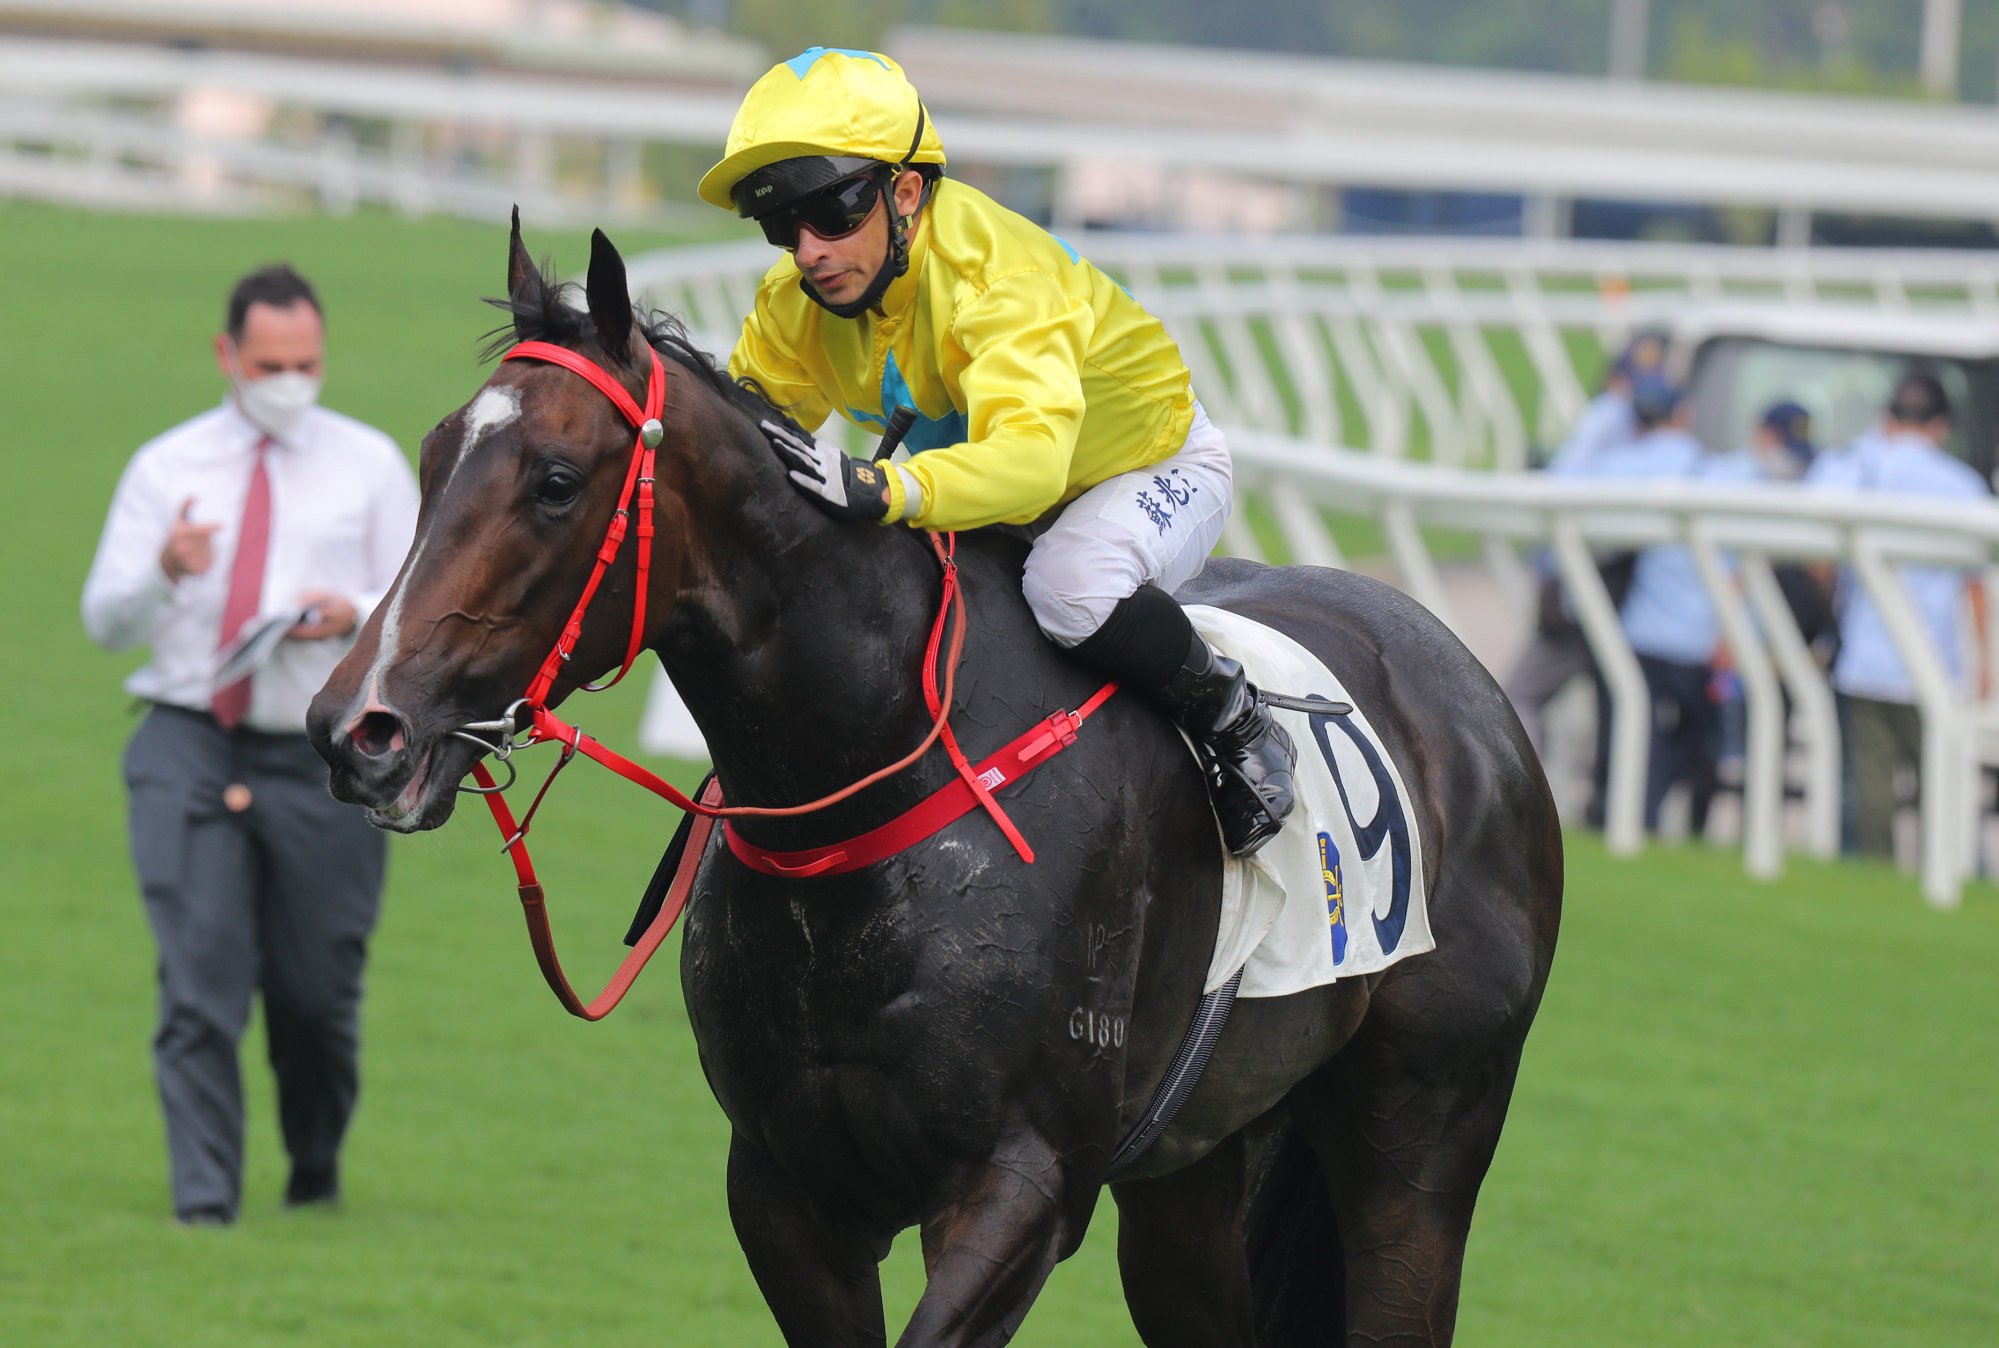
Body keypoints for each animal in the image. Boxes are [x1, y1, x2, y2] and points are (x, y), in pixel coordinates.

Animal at [307, 223, 1559, 1344]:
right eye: (430, 457)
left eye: (557, 482)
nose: (357, 728)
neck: (875, 786)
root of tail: (1472, 694)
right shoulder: (785, 1184)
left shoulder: (1024, 1178)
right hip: (1195, 1169)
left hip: (1422, 1132)